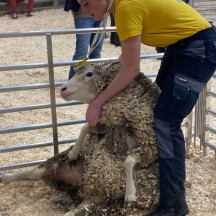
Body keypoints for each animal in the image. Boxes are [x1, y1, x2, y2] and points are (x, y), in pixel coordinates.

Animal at [0, 61, 160, 215]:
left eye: (89, 74)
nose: (62, 89)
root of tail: (78, 184)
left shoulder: (150, 146)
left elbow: (128, 161)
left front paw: (130, 194)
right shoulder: (106, 124)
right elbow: (85, 127)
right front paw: (74, 152)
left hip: (98, 201)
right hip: (59, 165)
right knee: (34, 172)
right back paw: (5, 176)